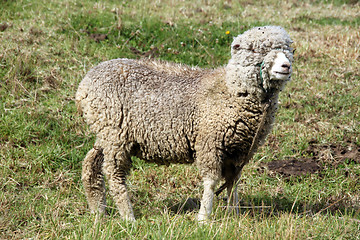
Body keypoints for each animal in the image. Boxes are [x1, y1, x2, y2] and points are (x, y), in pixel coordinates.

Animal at [76, 25, 296, 222]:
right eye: (255, 50)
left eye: (289, 50)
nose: (286, 66)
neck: (230, 90)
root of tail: (84, 85)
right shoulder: (210, 143)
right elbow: (211, 181)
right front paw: (203, 218)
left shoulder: (239, 150)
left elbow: (233, 182)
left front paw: (234, 215)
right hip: (115, 134)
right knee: (114, 174)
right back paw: (128, 217)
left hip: (105, 132)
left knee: (91, 163)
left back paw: (98, 212)